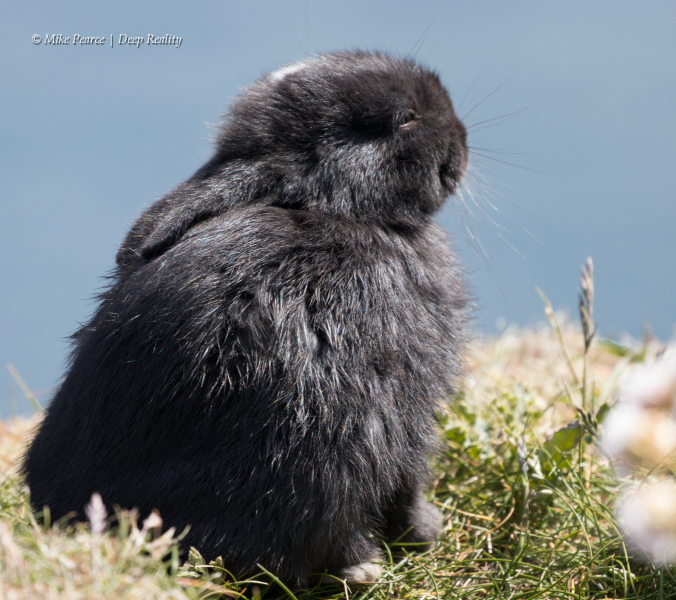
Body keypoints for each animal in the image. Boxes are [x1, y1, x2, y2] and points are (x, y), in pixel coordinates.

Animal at [23, 50, 470, 586]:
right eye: (405, 117)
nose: (463, 138)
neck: (342, 210)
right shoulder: (406, 405)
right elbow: (407, 478)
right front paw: (425, 532)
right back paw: (362, 566)